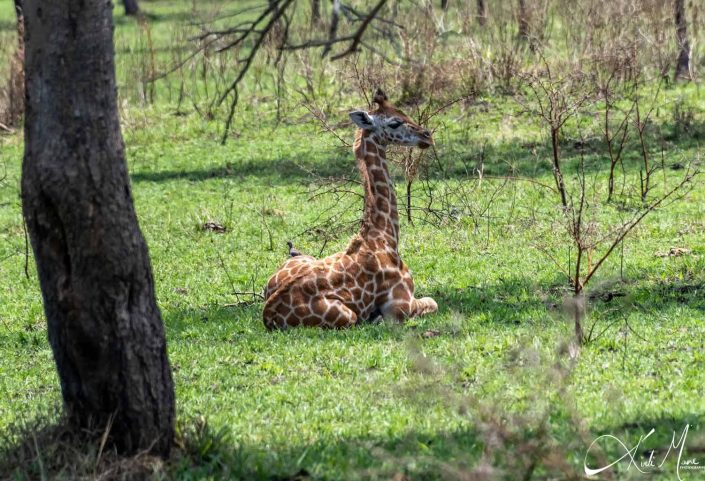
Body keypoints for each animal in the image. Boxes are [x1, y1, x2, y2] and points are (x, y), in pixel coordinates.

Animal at [262, 89, 438, 330]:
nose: (426, 136)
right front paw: (376, 317)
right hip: (347, 316)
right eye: (394, 122)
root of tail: (268, 315)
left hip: (305, 260)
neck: (384, 235)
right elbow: (433, 302)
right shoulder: (400, 306)